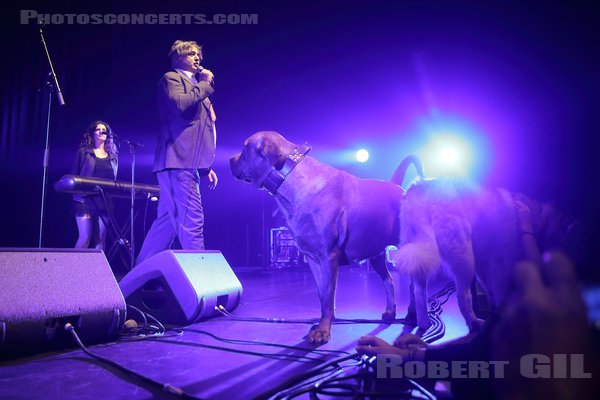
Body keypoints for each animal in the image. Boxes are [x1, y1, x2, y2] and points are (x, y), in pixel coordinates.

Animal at [227, 131, 406, 344]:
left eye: (245, 148)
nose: (230, 159)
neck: (289, 177)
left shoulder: (328, 257)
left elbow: (328, 297)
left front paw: (322, 332)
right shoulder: (313, 259)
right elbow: (323, 296)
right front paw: (322, 324)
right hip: (376, 254)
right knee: (389, 281)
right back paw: (391, 312)